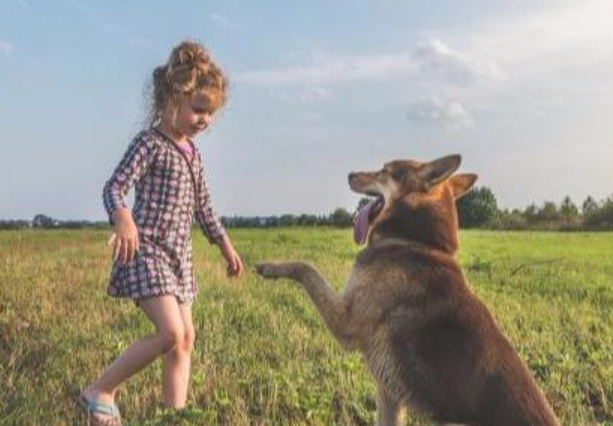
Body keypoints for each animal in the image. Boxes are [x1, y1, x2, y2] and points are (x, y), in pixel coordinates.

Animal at [256, 155, 560, 424]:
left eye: (384, 170)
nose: (350, 174)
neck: (414, 242)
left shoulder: (347, 323)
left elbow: (307, 268)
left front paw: (270, 266)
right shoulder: (389, 393)